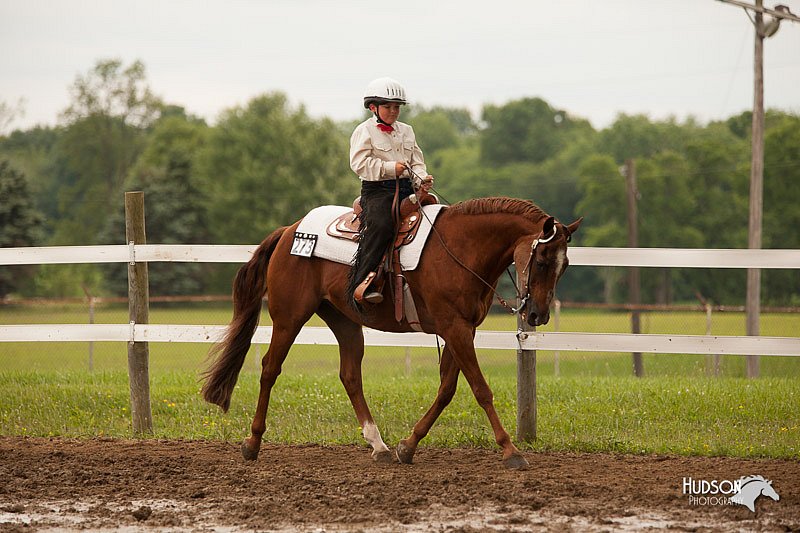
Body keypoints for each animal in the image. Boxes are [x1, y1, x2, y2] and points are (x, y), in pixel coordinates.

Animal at [202, 196, 580, 470]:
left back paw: (379, 445)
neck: (461, 248)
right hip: (289, 317)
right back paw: (252, 443)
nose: (538, 314)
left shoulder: (461, 330)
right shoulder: (454, 328)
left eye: (565, 266)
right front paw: (511, 451)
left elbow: (447, 390)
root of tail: (289, 231)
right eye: (542, 260)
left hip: (345, 322)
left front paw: (407, 447)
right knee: (270, 368)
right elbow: (480, 389)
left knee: (350, 375)